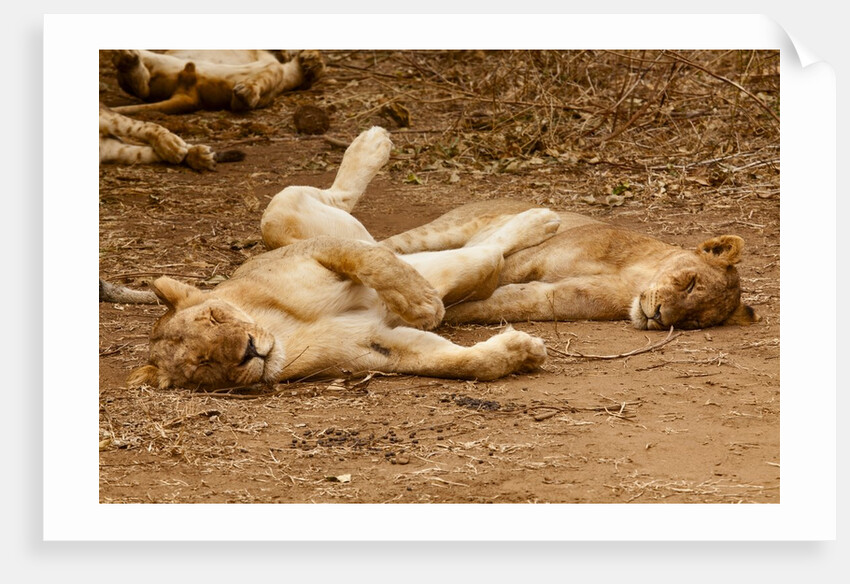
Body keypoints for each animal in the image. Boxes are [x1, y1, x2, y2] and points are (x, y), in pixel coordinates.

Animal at [127, 127, 555, 389]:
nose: (249, 350)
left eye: (215, 316)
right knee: (485, 247)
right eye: (202, 363)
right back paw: (534, 222)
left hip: (280, 216)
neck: (280, 330)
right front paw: (520, 351)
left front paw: (420, 303)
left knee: (358, 217)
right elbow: (459, 363)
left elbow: (369, 261)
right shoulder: (376, 347)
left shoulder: (318, 250)